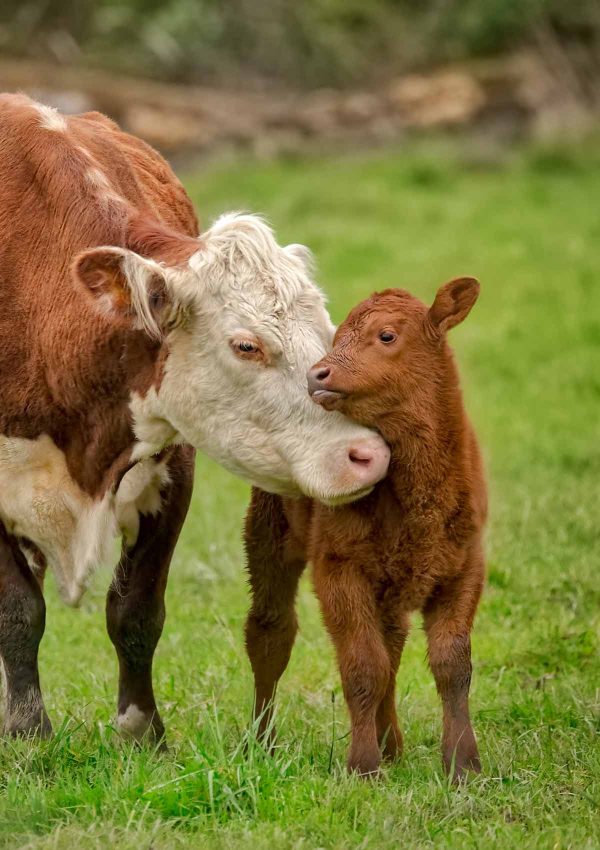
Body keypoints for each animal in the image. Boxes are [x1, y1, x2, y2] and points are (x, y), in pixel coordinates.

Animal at [0, 94, 390, 741]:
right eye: (246, 345)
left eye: (328, 334)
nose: (370, 455)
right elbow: (19, 613)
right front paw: (28, 732)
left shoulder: (171, 468)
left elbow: (135, 612)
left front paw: (140, 730)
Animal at [244, 277, 486, 781]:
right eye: (336, 338)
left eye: (387, 335)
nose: (317, 374)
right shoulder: (339, 567)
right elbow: (362, 666)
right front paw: (362, 766)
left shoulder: (465, 566)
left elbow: (452, 664)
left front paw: (463, 763)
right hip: (268, 534)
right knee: (270, 633)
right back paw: (261, 743)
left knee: (391, 645)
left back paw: (391, 743)